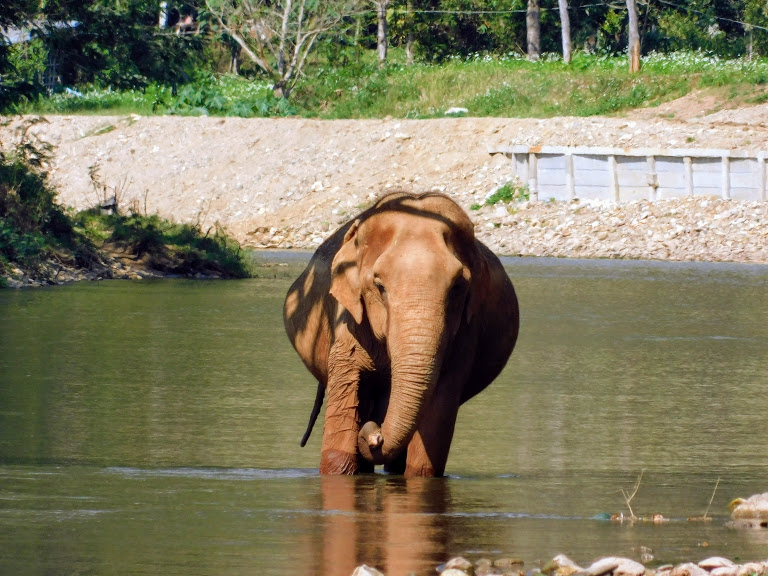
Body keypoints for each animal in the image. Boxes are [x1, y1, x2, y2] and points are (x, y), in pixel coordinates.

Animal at [283, 191, 519, 477]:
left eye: (457, 287)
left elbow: (437, 416)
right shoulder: (347, 320)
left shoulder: (464, 333)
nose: (376, 434)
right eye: (380, 286)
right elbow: (348, 389)